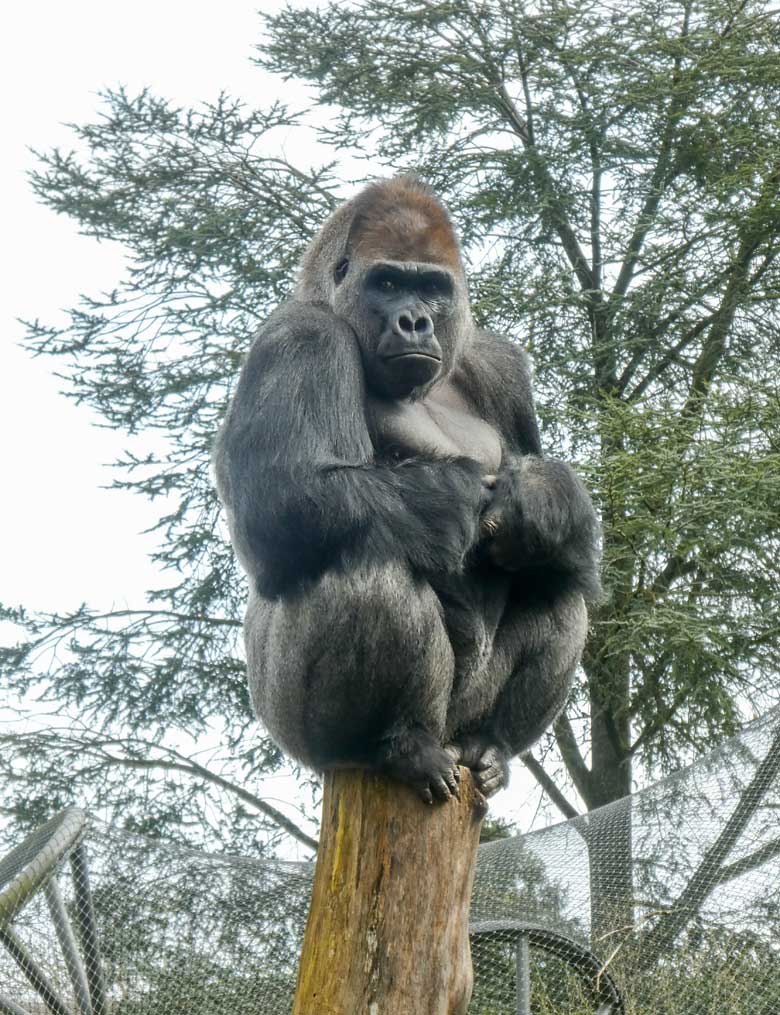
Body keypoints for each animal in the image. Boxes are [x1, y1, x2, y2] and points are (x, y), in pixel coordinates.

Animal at [216, 178, 601, 803]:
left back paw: (491, 743)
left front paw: (543, 502)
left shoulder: (497, 362)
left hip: (459, 719)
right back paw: (395, 744)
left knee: (556, 584)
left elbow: (548, 517)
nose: (415, 321)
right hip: (295, 732)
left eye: (431, 287)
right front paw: (454, 492)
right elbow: (280, 505)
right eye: (389, 283)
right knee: (369, 563)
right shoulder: (299, 335)